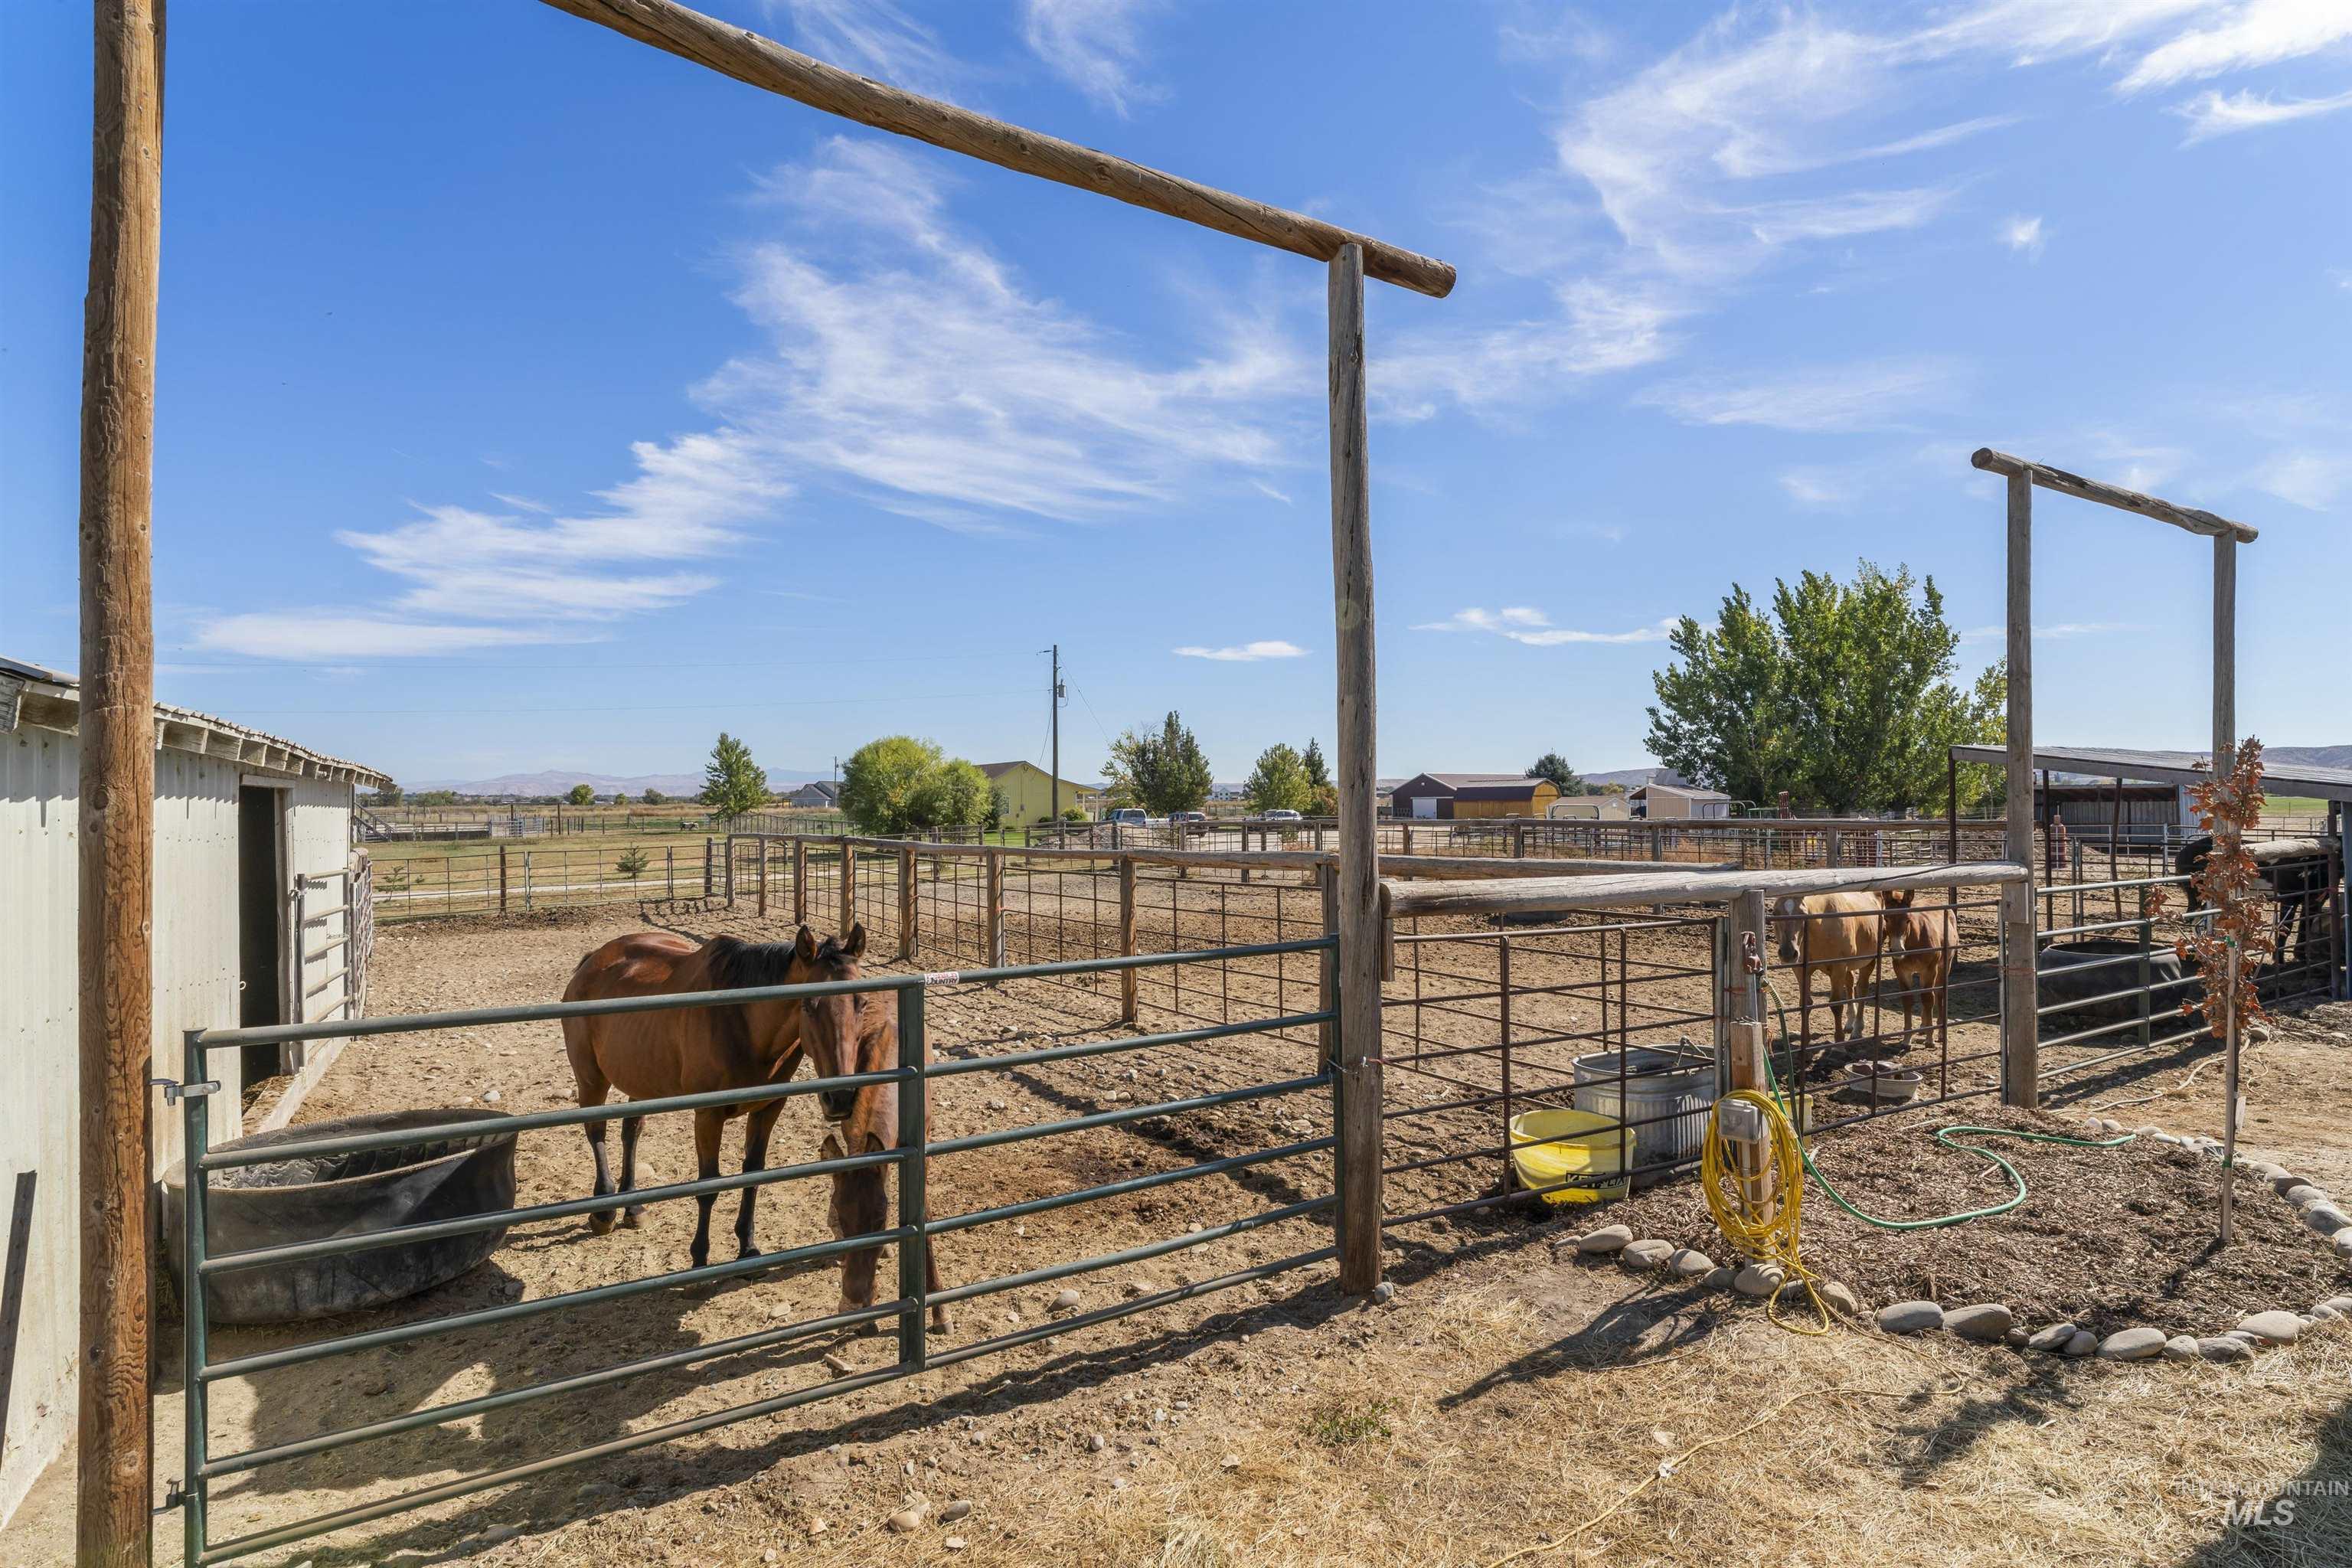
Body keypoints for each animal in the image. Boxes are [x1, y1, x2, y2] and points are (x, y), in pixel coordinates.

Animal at [560, 926, 837, 1269]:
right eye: (813, 1006)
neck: (745, 1019)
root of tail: (593, 960)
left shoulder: (769, 1108)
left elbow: (753, 1175)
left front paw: (748, 1248)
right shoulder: (708, 1115)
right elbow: (709, 1186)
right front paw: (700, 1259)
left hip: (639, 1077)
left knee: (631, 1132)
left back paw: (633, 1207)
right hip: (591, 1078)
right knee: (596, 1132)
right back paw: (604, 1211)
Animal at [1769, 893, 1881, 1053]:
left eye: (1803, 914)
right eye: (1775, 912)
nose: (1788, 953)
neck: (1822, 926)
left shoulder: (1838, 968)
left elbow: (1836, 1005)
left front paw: (1839, 1044)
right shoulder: (1802, 971)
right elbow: (1805, 1004)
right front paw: (1805, 1040)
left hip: (1868, 962)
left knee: (1862, 989)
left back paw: (1857, 1029)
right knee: (1850, 983)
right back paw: (1850, 1022)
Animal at [1863, 888, 1956, 1048]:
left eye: (1908, 920)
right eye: (1886, 919)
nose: (1897, 950)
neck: (1915, 939)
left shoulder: (1930, 970)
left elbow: (1928, 998)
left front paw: (1930, 1040)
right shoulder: (1902, 972)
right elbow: (1907, 1000)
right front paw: (1907, 1039)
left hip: (1945, 965)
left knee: (1939, 994)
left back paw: (1939, 1033)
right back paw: (1923, 1027)